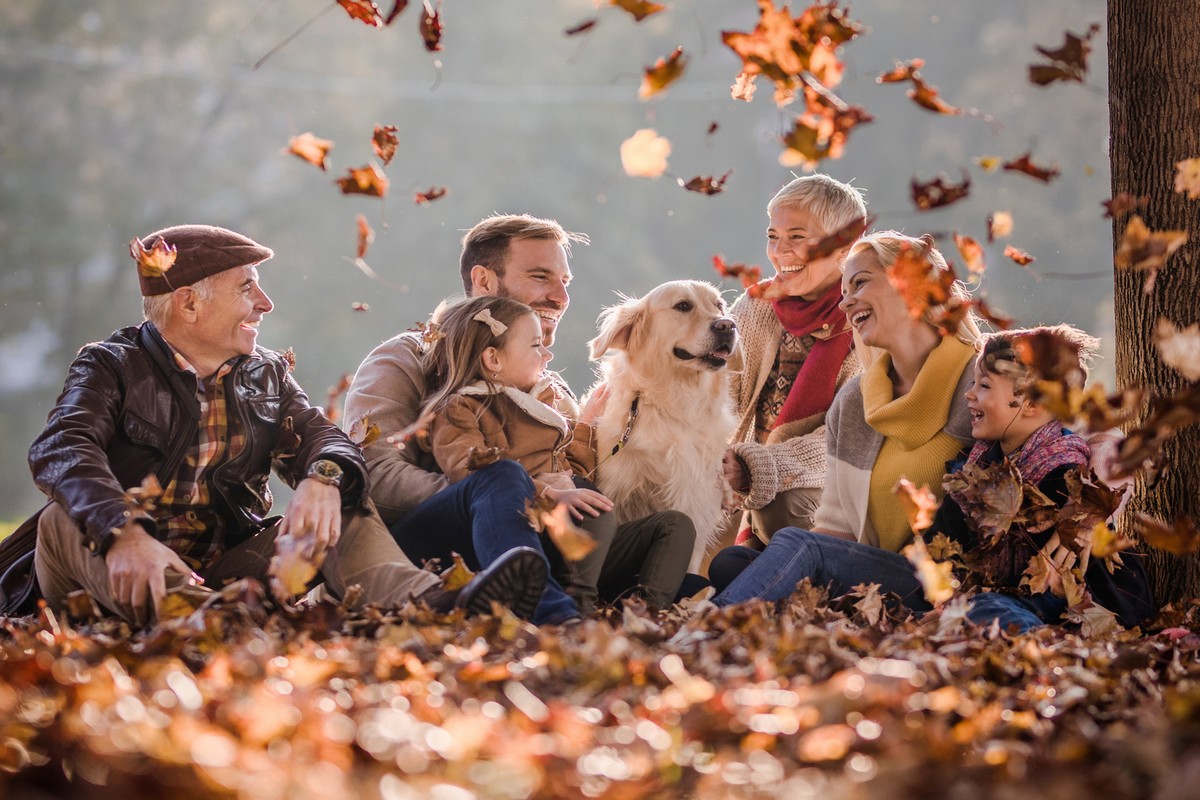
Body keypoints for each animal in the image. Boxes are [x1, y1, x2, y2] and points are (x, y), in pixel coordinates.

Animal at [585, 280, 734, 568]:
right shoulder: (616, 491)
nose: (727, 325)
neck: (674, 404)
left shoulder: (695, 502)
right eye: (683, 306)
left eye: (719, 305)